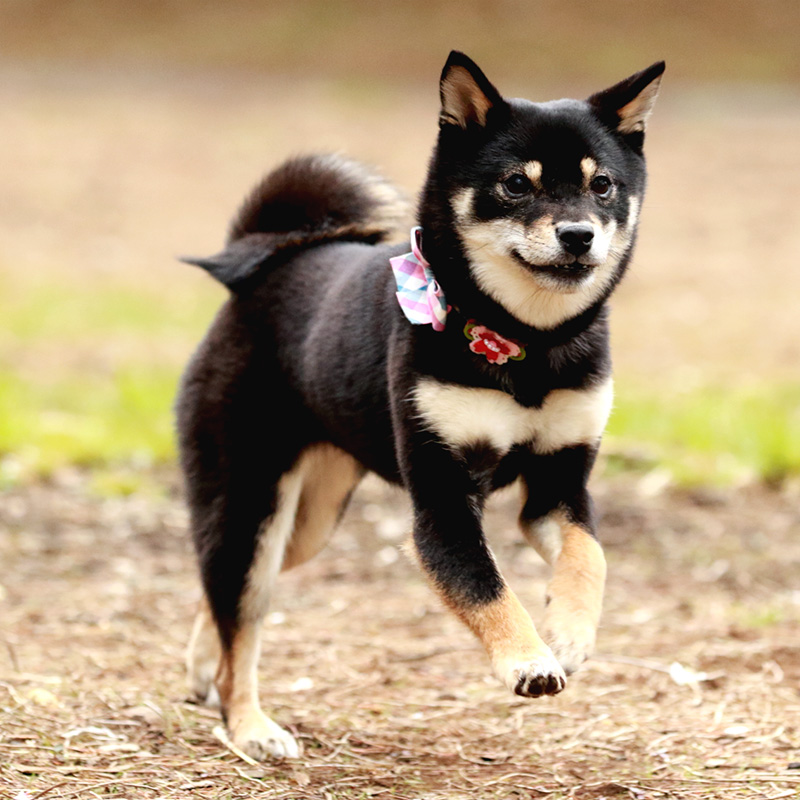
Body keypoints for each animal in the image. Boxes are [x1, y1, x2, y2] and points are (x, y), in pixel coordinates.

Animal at [178, 53, 664, 760]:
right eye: (515, 185)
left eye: (602, 186)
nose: (578, 235)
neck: (526, 342)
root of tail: (264, 267)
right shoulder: (442, 505)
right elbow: (486, 588)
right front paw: (527, 658)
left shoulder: (559, 486)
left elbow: (588, 558)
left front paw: (570, 633)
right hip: (253, 505)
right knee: (236, 612)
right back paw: (249, 726)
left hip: (307, 524)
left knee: (221, 597)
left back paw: (199, 668)